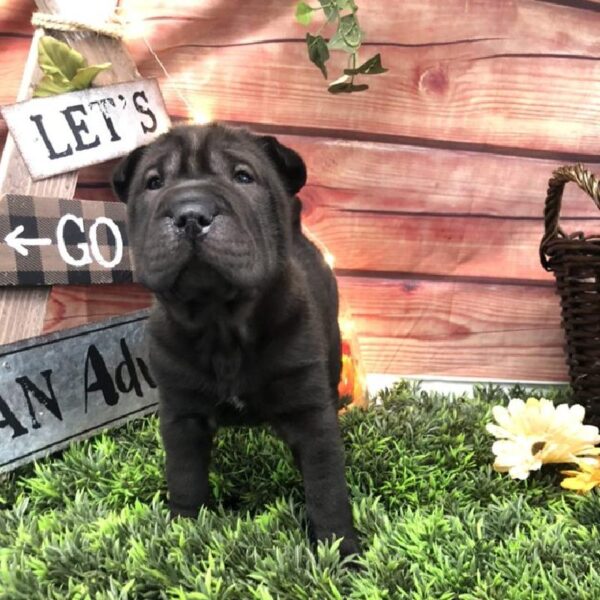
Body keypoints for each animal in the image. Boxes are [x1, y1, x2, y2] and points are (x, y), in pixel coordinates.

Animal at [110, 123, 358, 556]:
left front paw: (342, 554)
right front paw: (183, 536)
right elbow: (186, 478)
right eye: (154, 183)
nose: (191, 214)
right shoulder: (181, 415)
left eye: (243, 177)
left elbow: (326, 488)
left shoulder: (310, 414)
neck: (220, 323)